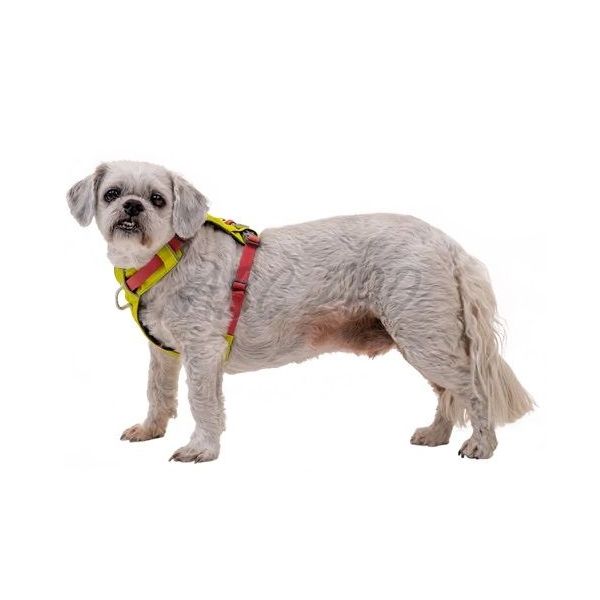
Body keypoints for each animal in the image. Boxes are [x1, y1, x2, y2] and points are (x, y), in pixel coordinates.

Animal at [67, 161, 533, 462]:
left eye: (158, 199)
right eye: (112, 193)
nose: (132, 206)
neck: (166, 257)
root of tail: (448, 245)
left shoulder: (202, 351)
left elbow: (202, 401)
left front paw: (202, 448)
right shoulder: (164, 351)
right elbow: (158, 392)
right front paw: (150, 430)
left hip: (425, 335)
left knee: (472, 390)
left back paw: (481, 445)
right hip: (423, 336)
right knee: (447, 394)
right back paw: (436, 434)